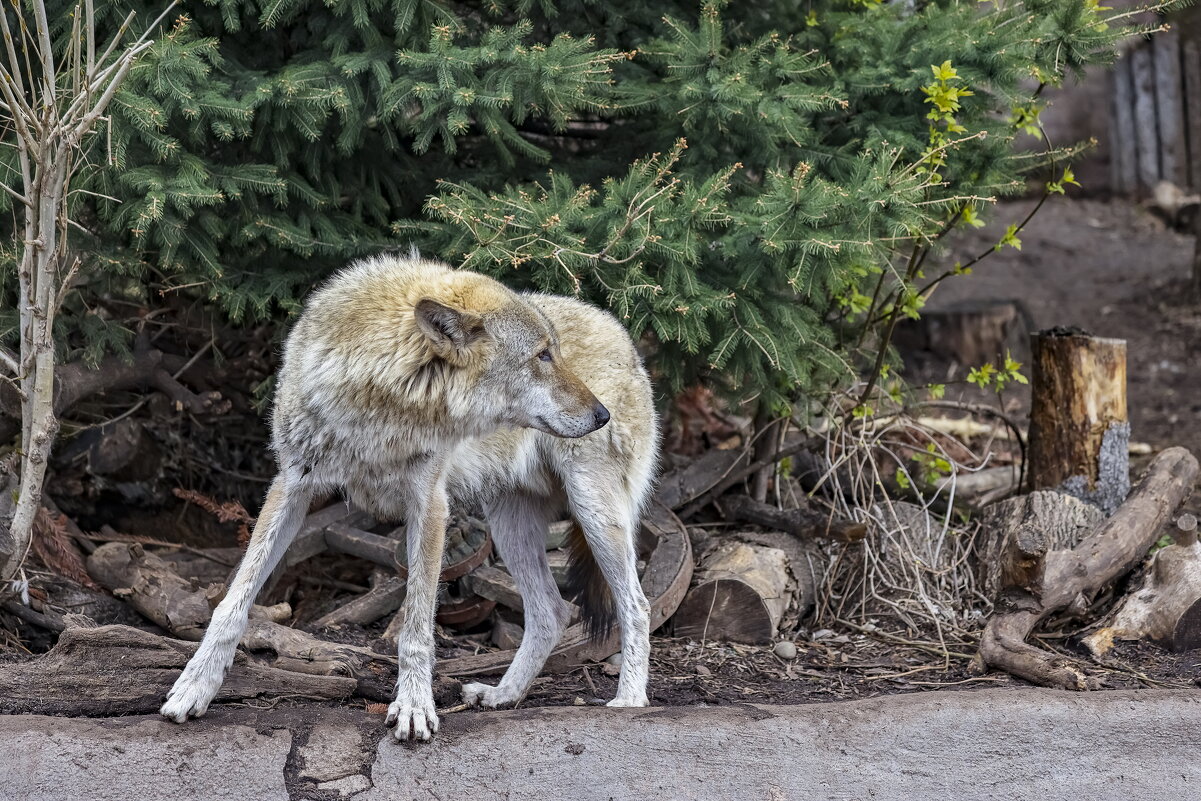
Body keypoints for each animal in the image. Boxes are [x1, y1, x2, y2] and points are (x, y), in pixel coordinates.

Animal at [157, 253, 658, 744]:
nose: (601, 415)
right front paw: (194, 686)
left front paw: (415, 708)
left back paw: (629, 701)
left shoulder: (430, 505)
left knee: (636, 605)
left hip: (593, 513)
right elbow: (232, 603)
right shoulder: (292, 486)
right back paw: (503, 695)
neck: (380, 406)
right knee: (552, 613)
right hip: (509, 525)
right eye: (543, 355)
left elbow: (416, 626)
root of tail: (624, 336)